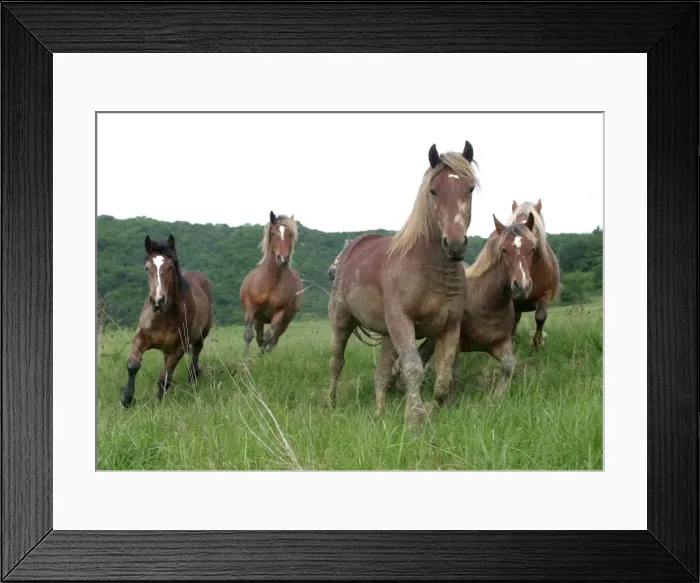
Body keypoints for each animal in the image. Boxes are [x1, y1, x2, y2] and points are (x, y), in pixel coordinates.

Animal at [120, 234, 214, 407]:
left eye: (170, 267)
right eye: (147, 268)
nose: (158, 300)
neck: (164, 317)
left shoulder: (179, 348)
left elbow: (164, 378)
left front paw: (158, 403)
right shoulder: (141, 337)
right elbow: (133, 365)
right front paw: (126, 398)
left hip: (201, 335)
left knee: (196, 353)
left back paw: (193, 377)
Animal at [239, 211, 303, 358]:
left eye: (290, 234)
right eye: (273, 233)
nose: (283, 258)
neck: (271, 282)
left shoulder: (279, 313)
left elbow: (268, 338)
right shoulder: (251, 309)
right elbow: (248, 335)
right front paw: (244, 359)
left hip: (285, 322)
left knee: (273, 339)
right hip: (259, 319)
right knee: (259, 337)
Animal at [327, 141, 478, 428]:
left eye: (470, 188)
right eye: (433, 190)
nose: (455, 245)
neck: (429, 269)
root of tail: (350, 248)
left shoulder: (449, 327)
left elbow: (442, 383)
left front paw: (428, 411)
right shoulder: (403, 322)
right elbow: (413, 369)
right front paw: (414, 420)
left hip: (388, 335)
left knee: (381, 373)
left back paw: (380, 414)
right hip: (343, 320)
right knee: (336, 362)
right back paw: (329, 401)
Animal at [385, 213, 537, 397]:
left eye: (532, 249)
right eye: (504, 249)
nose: (522, 286)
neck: (487, 304)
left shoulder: (500, 343)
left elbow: (509, 365)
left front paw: (497, 396)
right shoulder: (455, 345)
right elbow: (453, 375)